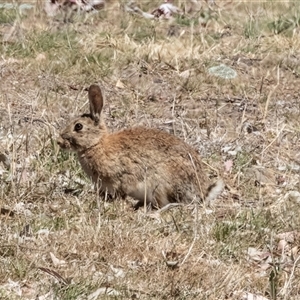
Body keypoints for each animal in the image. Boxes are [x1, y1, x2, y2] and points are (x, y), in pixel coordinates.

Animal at [57, 83, 224, 207]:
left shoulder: (121, 177)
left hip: (161, 182)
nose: (59, 141)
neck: (97, 144)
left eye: (78, 126)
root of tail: (202, 192)